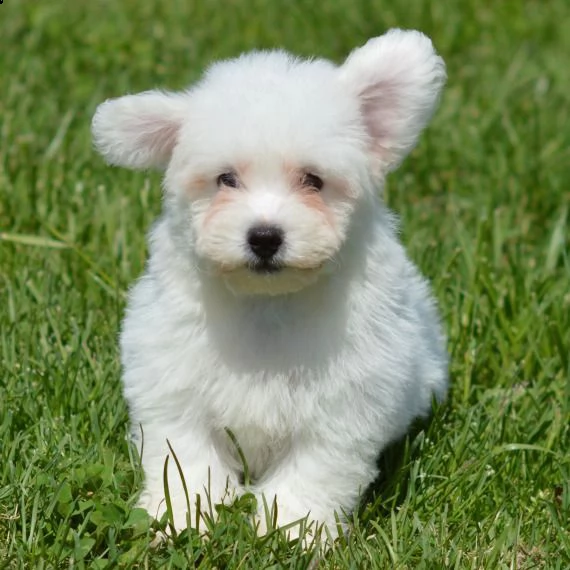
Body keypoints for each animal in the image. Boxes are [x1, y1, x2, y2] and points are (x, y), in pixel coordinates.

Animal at [92, 28, 448, 540]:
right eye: (225, 179)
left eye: (313, 181)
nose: (264, 236)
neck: (267, 303)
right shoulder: (173, 383)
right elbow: (185, 457)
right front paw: (182, 518)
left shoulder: (345, 403)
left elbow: (313, 469)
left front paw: (293, 530)